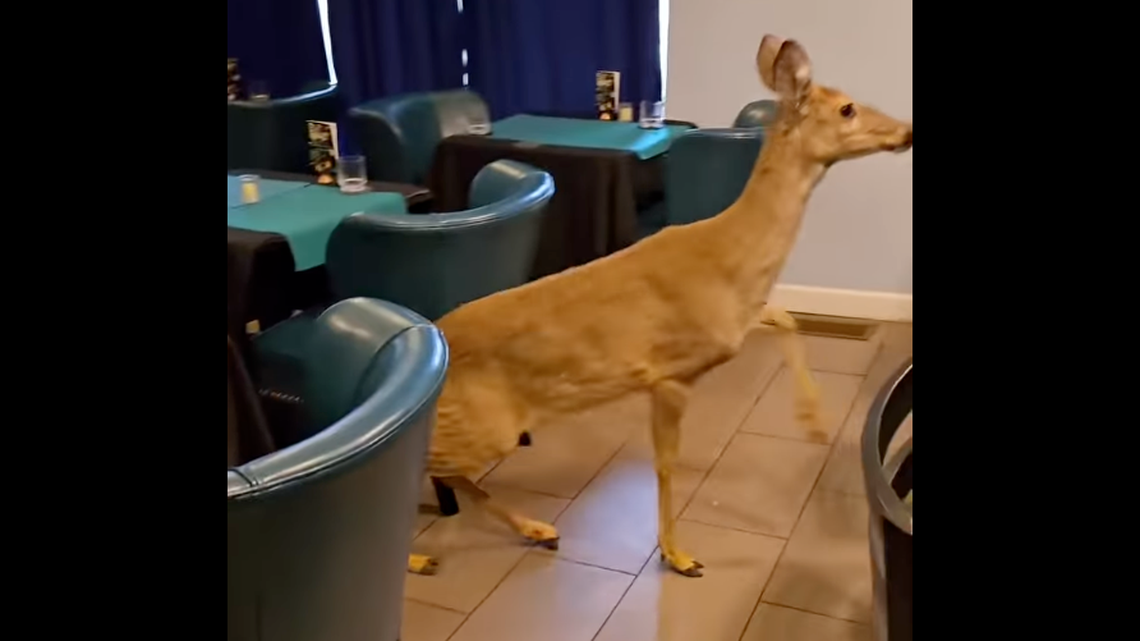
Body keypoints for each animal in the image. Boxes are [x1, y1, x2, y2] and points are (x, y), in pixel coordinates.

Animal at [407, 34, 913, 578]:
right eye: (846, 108)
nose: (907, 131)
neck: (727, 253)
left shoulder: (732, 324)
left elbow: (786, 317)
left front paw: (815, 422)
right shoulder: (671, 373)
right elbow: (666, 464)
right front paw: (679, 555)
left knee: (449, 473)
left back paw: (538, 530)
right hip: (485, 426)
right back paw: (420, 556)